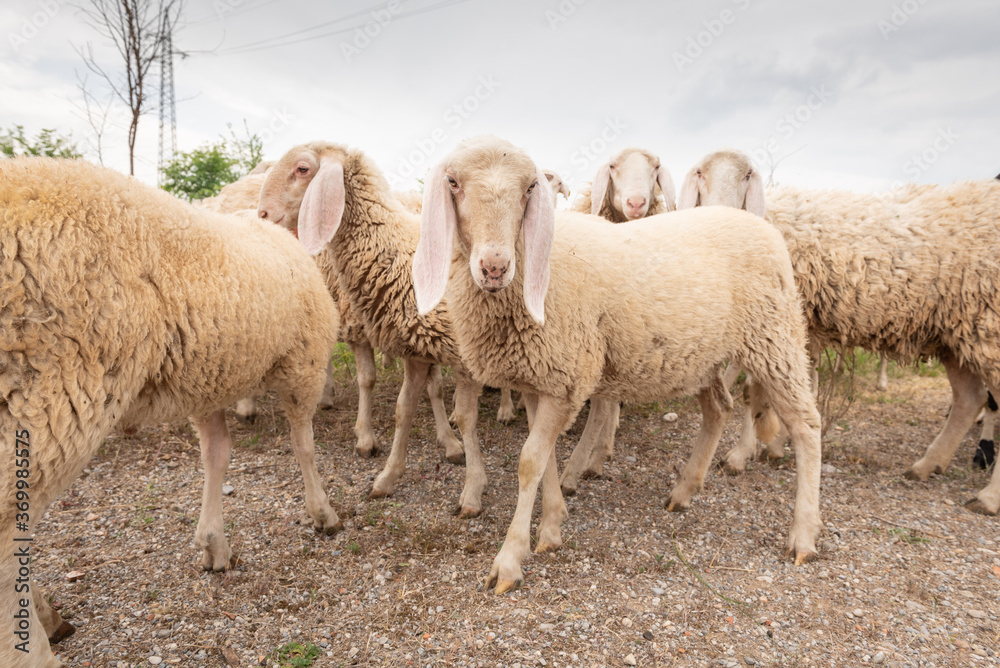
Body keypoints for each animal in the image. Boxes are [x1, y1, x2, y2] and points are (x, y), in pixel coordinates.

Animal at [0, 158, 340, 668]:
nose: (264, 210)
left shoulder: (209, 377)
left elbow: (217, 455)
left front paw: (213, 542)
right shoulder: (304, 359)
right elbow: (304, 444)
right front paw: (322, 513)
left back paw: (45, 614)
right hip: (43, 397)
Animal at [256, 141, 490, 516]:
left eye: (303, 169)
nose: (261, 215)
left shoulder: (463, 356)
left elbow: (464, 416)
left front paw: (472, 489)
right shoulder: (415, 349)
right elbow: (403, 408)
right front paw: (387, 475)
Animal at [410, 134, 824, 588]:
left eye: (529, 188)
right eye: (453, 183)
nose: (494, 267)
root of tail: (761, 225)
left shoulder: (566, 378)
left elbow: (529, 462)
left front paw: (510, 558)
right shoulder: (545, 379)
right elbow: (546, 457)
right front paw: (552, 526)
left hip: (775, 338)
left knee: (806, 425)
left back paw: (803, 534)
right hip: (703, 356)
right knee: (719, 409)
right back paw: (684, 491)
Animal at [684, 150, 1000, 516]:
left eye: (748, 175)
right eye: (700, 173)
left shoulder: (775, 325)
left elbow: (756, 392)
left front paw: (742, 454)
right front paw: (772, 446)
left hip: (987, 330)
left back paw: (989, 496)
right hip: (956, 333)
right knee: (969, 399)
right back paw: (927, 465)